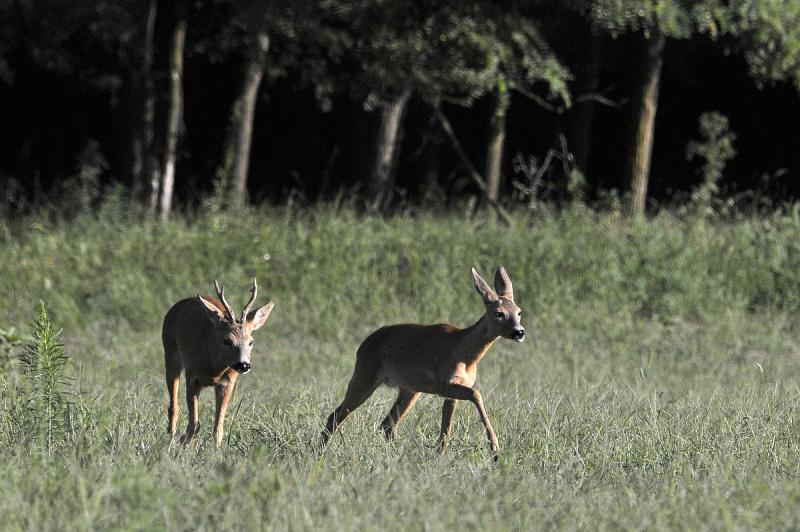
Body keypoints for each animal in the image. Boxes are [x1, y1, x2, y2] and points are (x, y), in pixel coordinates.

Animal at [162, 280, 276, 446]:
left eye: (251, 342)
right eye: (227, 340)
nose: (244, 365)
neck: (214, 368)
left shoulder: (228, 382)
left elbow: (218, 426)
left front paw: (216, 450)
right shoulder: (191, 376)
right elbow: (194, 423)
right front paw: (184, 444)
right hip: (170, 354)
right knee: (173, 407)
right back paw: (171, 440)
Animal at [318, 268, 524, 460]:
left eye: (519, 312)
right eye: (499, 313)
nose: (519, 332)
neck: (464, 353)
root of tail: (363, 345)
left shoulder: (452, 391)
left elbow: (446, 429)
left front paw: (440, 458)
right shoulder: (443, 384)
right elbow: (476, 394)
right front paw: (495, 449)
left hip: (409, 389)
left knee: (387, 424)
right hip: (364, 375)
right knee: (336, 416)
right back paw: (318, 454)